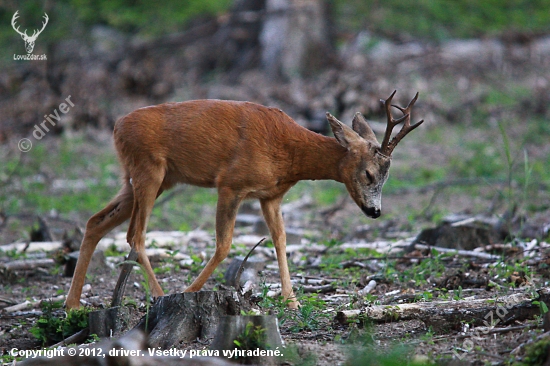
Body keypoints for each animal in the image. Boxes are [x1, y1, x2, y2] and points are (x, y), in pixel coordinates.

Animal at [66, 89, 426, 308]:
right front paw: (189, 291)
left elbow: (281, 240)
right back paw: (160, 294)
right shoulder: (230, 183)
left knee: (95, 222)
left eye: (386, 176)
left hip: (152, 178)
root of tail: (116, 126)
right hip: (149, 170)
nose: (375, 211)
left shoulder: (271, 196)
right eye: (368, 174)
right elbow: (224, 245)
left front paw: (291, 300)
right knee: (135, 235)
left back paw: (72, 304)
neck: (290, 155)